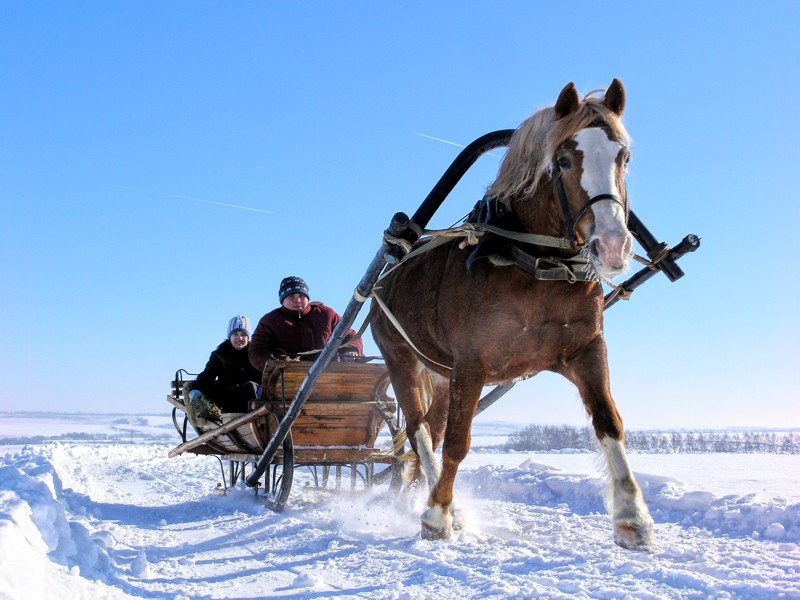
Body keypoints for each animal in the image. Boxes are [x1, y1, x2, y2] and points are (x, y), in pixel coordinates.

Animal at [368, 79, 656, 552]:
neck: (533, 266)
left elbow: (609, 423)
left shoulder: (586, 350)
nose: (613, 245)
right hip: (399, 357)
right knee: (420, 432)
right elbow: (459, 443)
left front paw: (633, 518)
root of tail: (385, 279)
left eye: (624, 156)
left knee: (430, 429)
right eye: (563, 160)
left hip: (442, 375)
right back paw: (445, 507)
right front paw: (437, 516)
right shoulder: (472, 363)